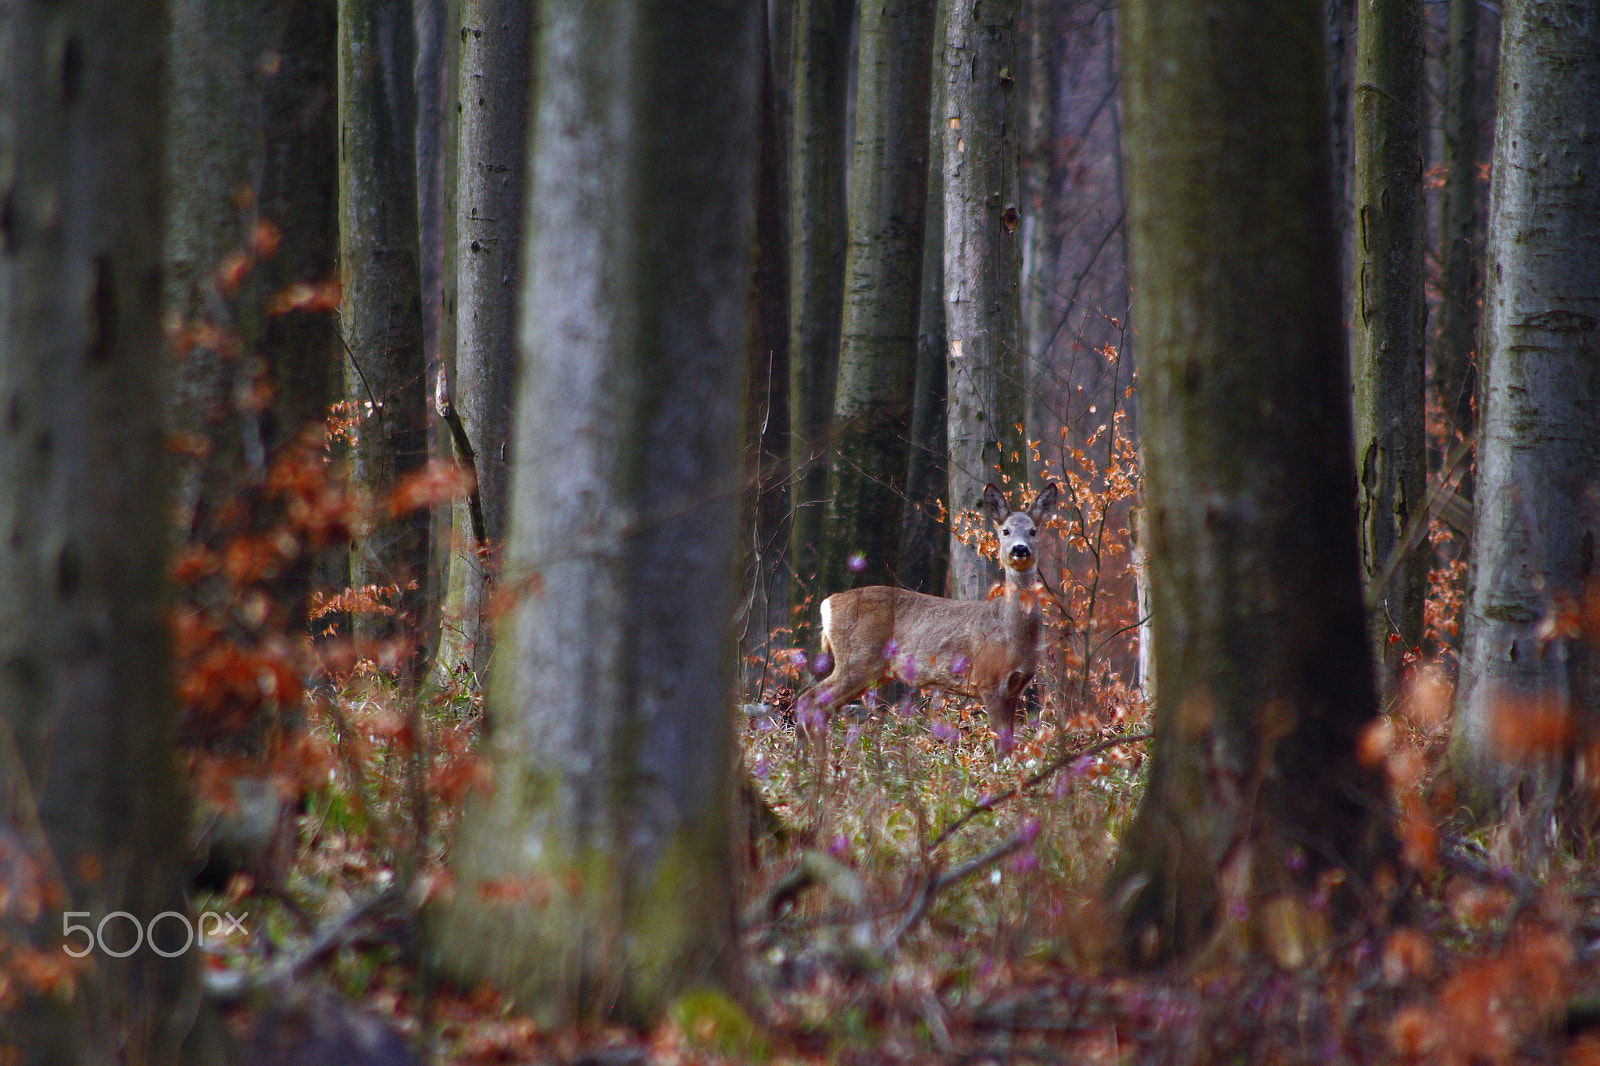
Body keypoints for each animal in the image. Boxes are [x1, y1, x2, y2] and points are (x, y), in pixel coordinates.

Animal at [806, 480, 1056, 739]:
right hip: (857, 658)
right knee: (811, 700)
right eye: (1005, 531)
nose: (1020, 549)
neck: (1012, 630)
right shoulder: (989, 680)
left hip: (871, 670)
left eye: (1033, 531)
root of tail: (828, 603)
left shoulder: (1014, 689)